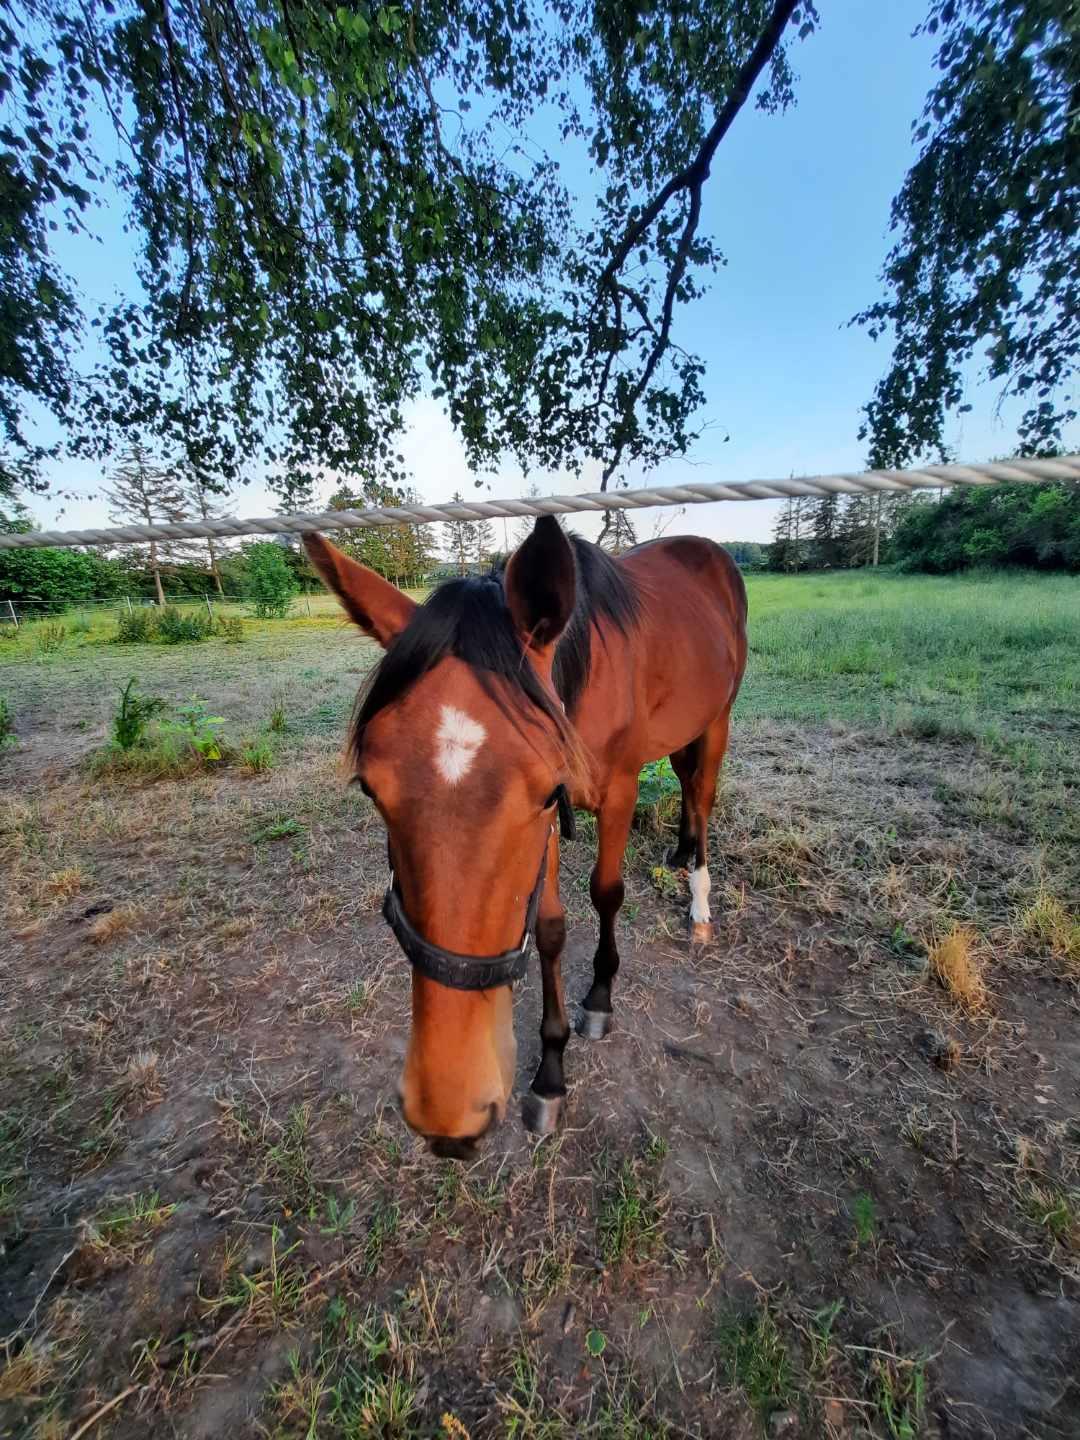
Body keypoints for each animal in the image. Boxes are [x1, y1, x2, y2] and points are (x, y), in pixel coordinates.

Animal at [305, 518, 743, 1157]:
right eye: (369, 788)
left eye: (542, 790)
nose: (449, 1108)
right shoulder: (552, 828)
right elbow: (550, 928)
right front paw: (552, 1073)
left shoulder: (610, 793)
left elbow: (606, 892)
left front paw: (599, 1000)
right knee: (687, 783)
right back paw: (683, 855)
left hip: (717, 720)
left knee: (702, 793)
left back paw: (700, 900)